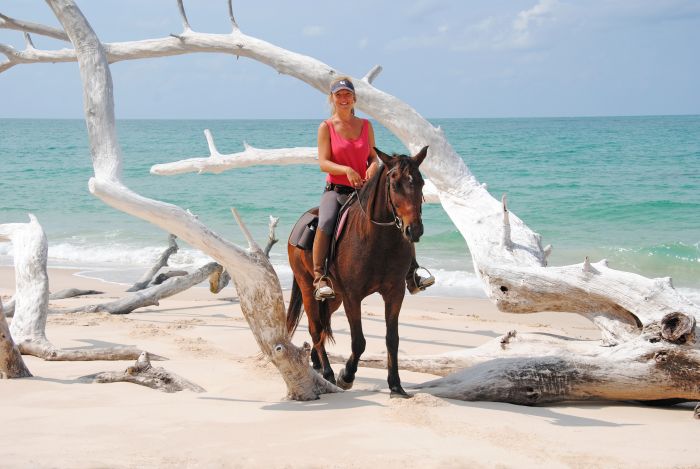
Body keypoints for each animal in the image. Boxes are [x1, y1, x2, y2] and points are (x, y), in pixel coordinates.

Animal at [284, 144, 426, 396]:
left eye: (421, 183)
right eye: (395, 185)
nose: (414, 230)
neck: (378, 239)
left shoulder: (395, 293)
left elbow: (392, 339)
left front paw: (396, 385)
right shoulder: (353, 297)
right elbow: (359, 341)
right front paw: (346, 376)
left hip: (334, 298)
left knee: (322, 327)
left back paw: (318, 363)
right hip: (308, 287)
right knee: (315, 328)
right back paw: (328, 373)